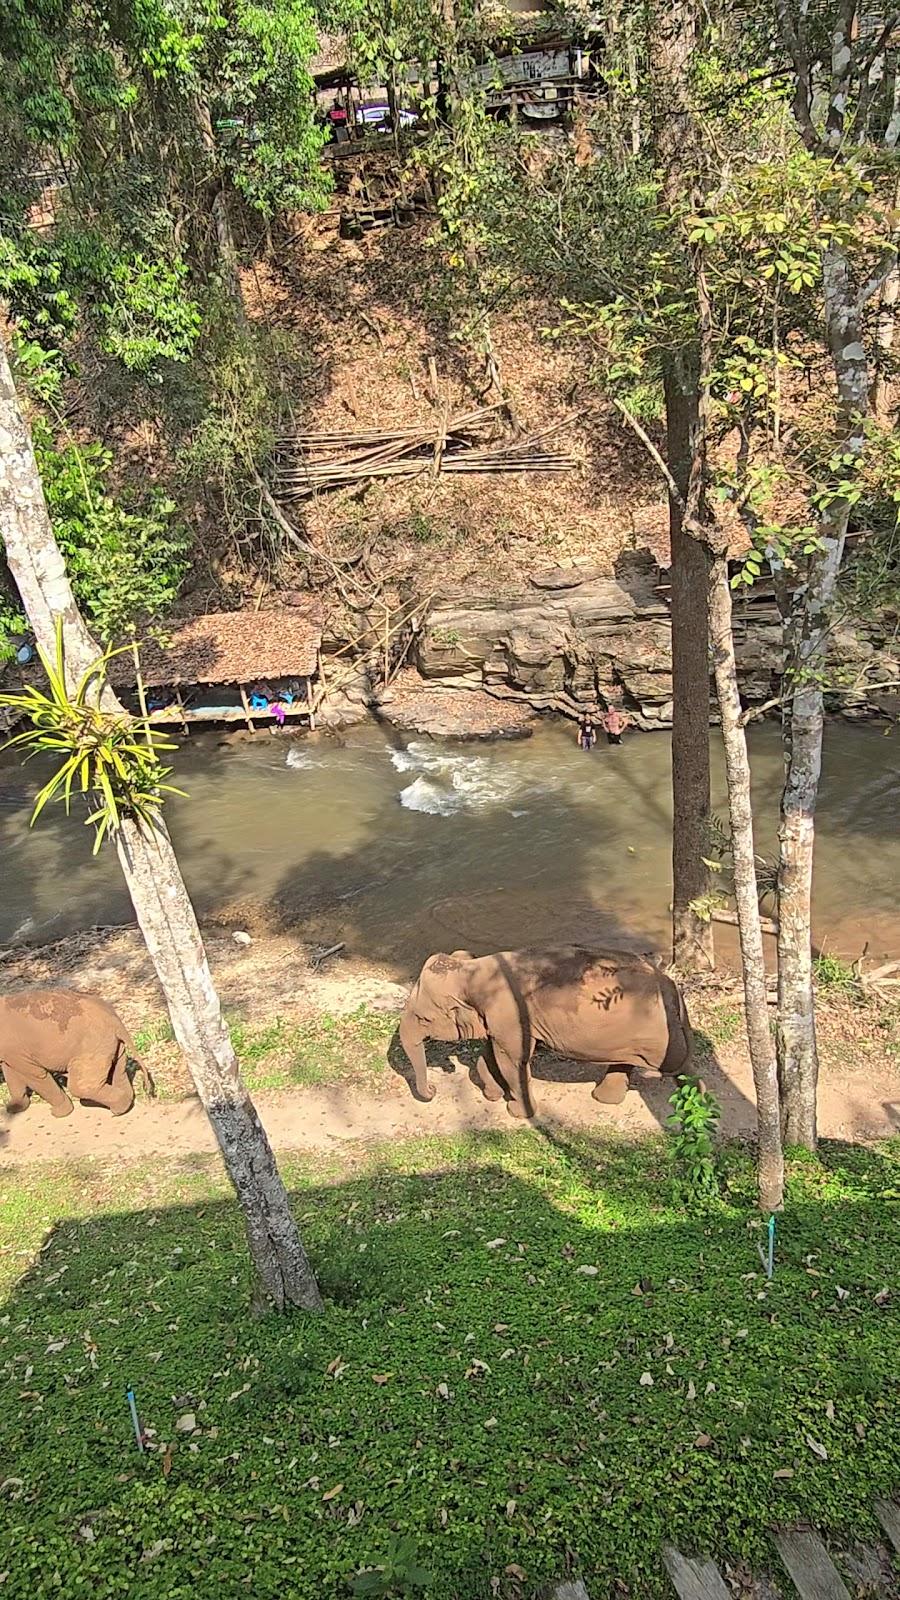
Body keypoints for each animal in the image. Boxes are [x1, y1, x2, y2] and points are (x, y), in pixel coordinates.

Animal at [0, 988, 155, 1118]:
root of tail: (115, 1020)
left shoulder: (18, 1051)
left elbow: (35, 1074)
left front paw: (59, 1114)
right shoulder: (10, 1051)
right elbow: (10, 1072)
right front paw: (14, 1108)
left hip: (92, 1047)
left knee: (80, 1086)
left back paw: (112, 1109)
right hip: (112, 1045)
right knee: (118, 1071)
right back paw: (120, 1106)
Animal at [398, 946, 693, 1118]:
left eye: (424, 1018)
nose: (433, 1089)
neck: (475, 969)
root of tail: (670, 984)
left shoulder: (510, 1014)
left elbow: (512, 1062)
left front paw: (518, 1112)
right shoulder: (500, 1020)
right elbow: (493, 1055)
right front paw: (493, 1094)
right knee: (624, 1061)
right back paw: (604, 1099)